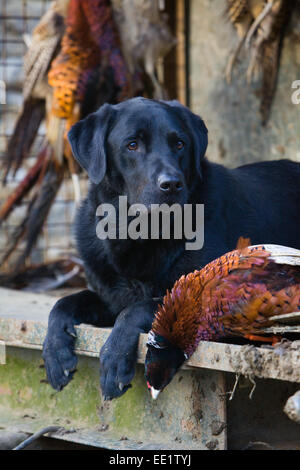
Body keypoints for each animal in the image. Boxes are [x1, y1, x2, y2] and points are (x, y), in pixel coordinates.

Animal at [41, 97, 300, 398]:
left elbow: (138, 308)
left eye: (179, 144)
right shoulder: (110, 298)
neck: (141, 233)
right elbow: (64, 302)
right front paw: (55, 353)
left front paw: (115, 359)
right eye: (132, 144)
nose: (172, 184)